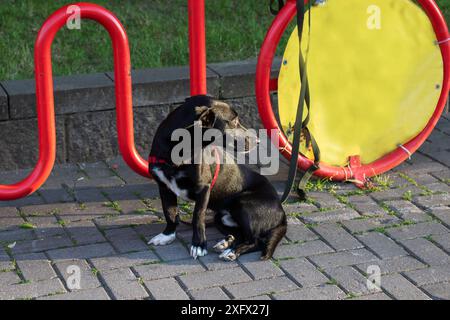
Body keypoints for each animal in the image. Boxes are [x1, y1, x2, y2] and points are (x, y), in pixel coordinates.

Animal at [149, 96, 286, 262]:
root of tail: (281, 213)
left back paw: (232, 251)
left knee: (256, 241)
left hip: (243, 204)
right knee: (243, 235)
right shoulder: (164, 187)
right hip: (220, 217)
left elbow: (198, 217)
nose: (258, 141)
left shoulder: (204, 188)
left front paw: (199, 245)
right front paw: (167, 235)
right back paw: (226, 242)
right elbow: (170, 213)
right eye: (233, 121)